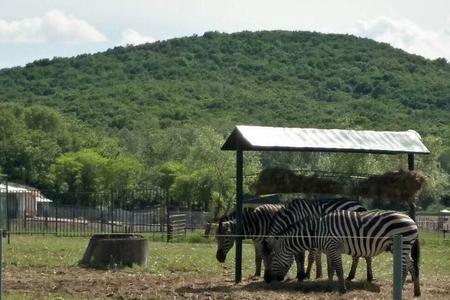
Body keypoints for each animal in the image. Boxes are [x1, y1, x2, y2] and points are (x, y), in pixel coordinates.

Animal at [262, 210, 420, 296]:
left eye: (273, 257)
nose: (271, 281)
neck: (316, 232)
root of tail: (411, 219)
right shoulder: (329, 250)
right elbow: (330, 270)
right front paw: (328, 287)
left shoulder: (333, 247)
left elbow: (339, 269)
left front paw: (343, 289)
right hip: (403, 246)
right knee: (412, 265)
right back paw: (416, 291)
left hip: (402, 244)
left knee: (405, 267)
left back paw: (400, 288)